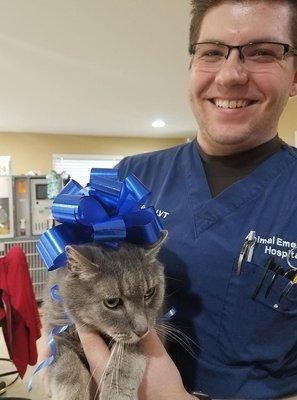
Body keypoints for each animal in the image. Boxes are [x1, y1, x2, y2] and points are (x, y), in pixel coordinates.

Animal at [41, 231, 166, 400]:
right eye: (112, 302)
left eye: (149, 293)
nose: (143, 330)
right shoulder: (57, 336)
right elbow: (67, 368)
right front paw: (72, 395)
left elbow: (124, 364)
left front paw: (115, 394)